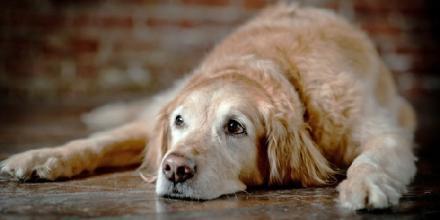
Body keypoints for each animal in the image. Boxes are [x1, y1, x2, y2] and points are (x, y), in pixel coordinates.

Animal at [0, 4, 416, 210]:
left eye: (235, 127)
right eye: (180, 121)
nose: (174, 169)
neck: (276, 66)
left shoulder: (384, 132)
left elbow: (370, 158)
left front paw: (363, 186)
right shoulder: (157, 123)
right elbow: (99, 142)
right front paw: (40, 157)